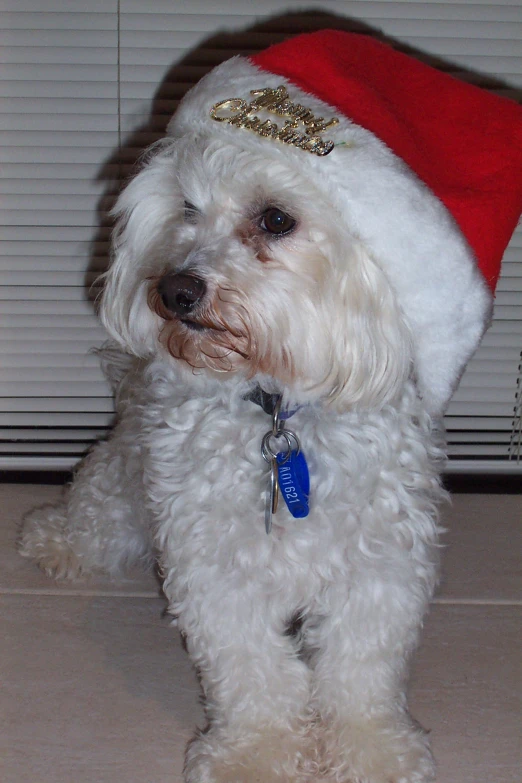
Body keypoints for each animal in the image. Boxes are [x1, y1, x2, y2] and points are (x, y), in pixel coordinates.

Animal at [19, 29, 512, 783]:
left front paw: (372, 749)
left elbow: (360, 671)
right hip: (125, 487)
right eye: (187, 209)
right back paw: (56, 540)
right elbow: (253, 672)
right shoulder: (217, 562)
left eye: (275, 219)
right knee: (94, 509)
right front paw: (258, 753)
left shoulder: (381, 565)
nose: (173, 291)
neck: (280, 409)